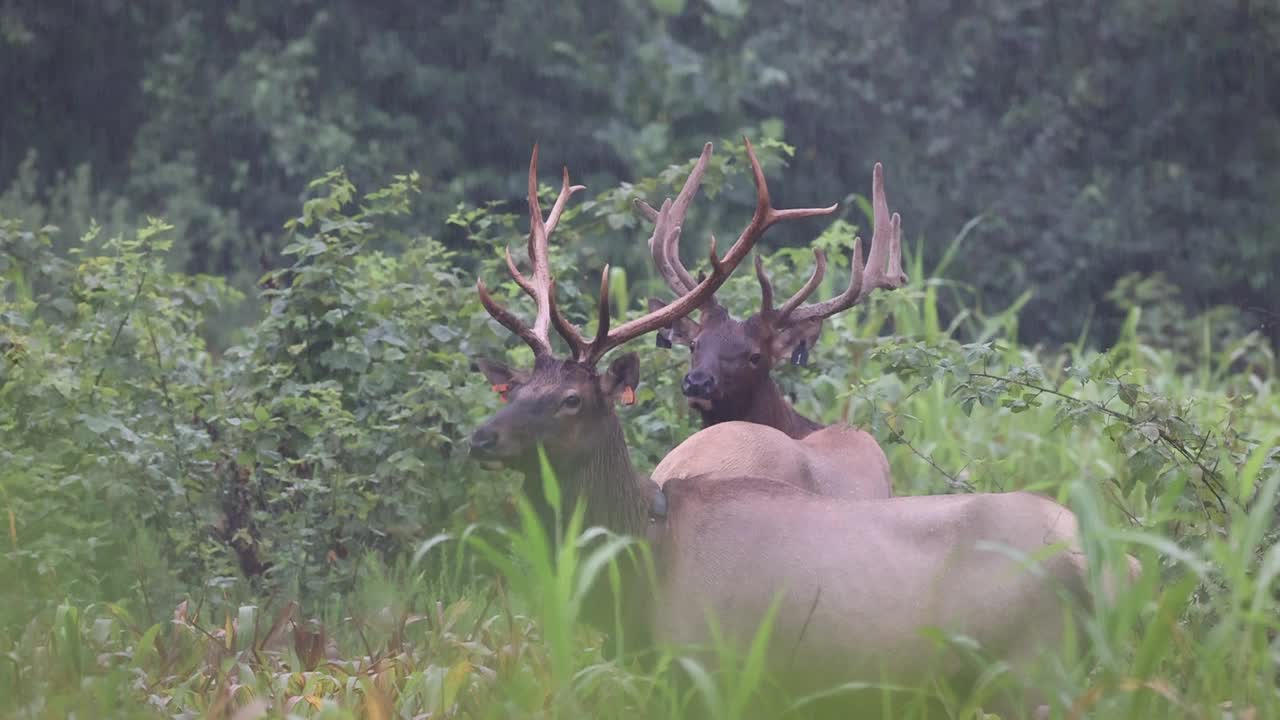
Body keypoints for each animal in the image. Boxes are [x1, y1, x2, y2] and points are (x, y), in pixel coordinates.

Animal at [463, 140, 1141, 712]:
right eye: (513, 387)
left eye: (572, 399)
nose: (481, 437)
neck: (643, 569)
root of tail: (1106, 564)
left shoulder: (715, 667)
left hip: (1033, 667)